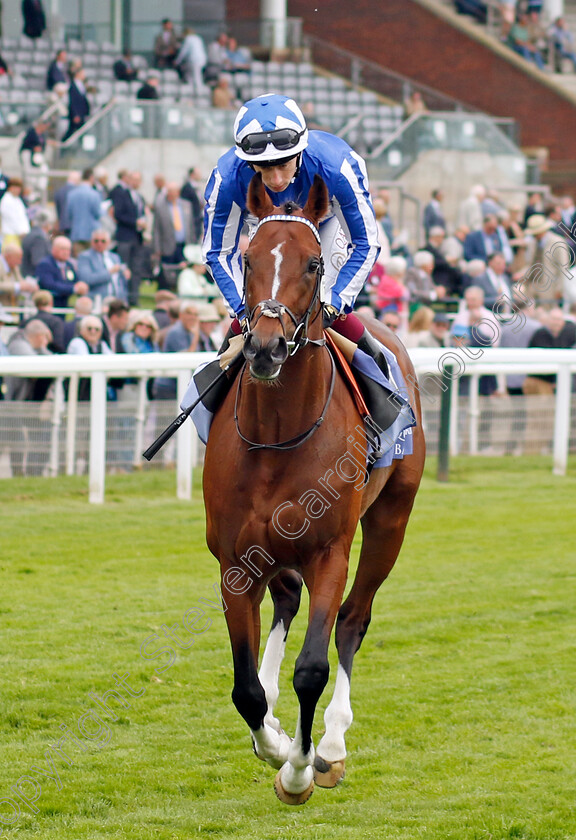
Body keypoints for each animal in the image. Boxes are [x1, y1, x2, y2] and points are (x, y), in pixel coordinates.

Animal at [201, 172, 424, 808]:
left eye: (315, 262)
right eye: (247, 259)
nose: (265, 347)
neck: (278, 435)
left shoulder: (330, 552)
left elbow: (313, 667)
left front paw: (300, 769)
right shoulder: (234, 560)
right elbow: (245, 688)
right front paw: (273, 740)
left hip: (391, 521)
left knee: (353, 620)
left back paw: (331, 743)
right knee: (285, 602)